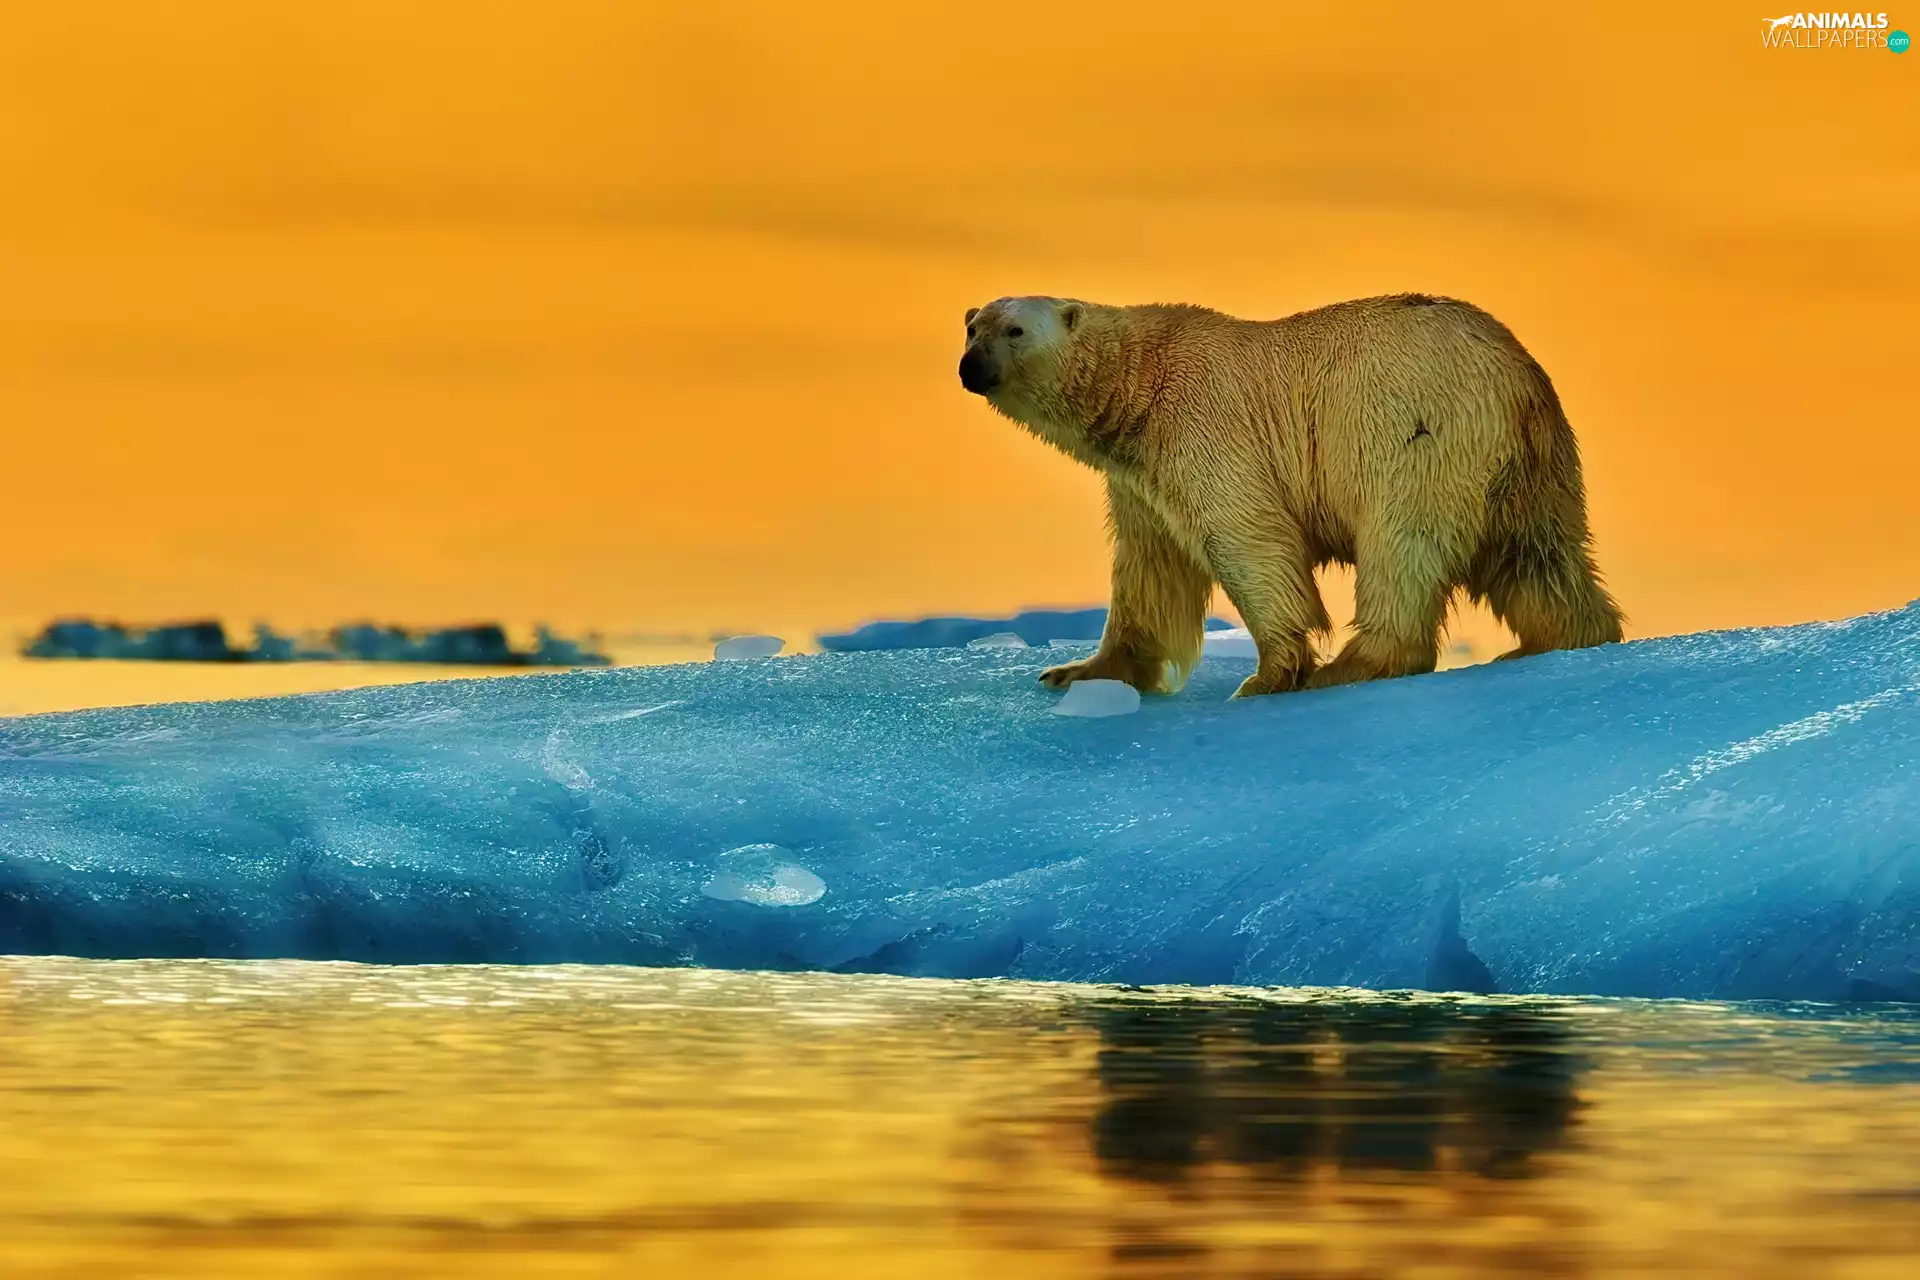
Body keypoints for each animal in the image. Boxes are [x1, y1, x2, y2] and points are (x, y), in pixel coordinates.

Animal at [956, 293, 1623, 698]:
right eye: (971, 327)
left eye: (1015, 329)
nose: (970, 367)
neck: (1139, 385)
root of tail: (1520, 382)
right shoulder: (1138, 480)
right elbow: (1150, 572)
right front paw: (1076, 672)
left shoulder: (1203, 428)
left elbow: (1250, 538)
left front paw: (1268, 674)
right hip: (1533, 467)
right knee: (1538, 558)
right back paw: (1559, 638)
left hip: (1418, 437)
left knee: (1402, 546)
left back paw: (1354, 664)